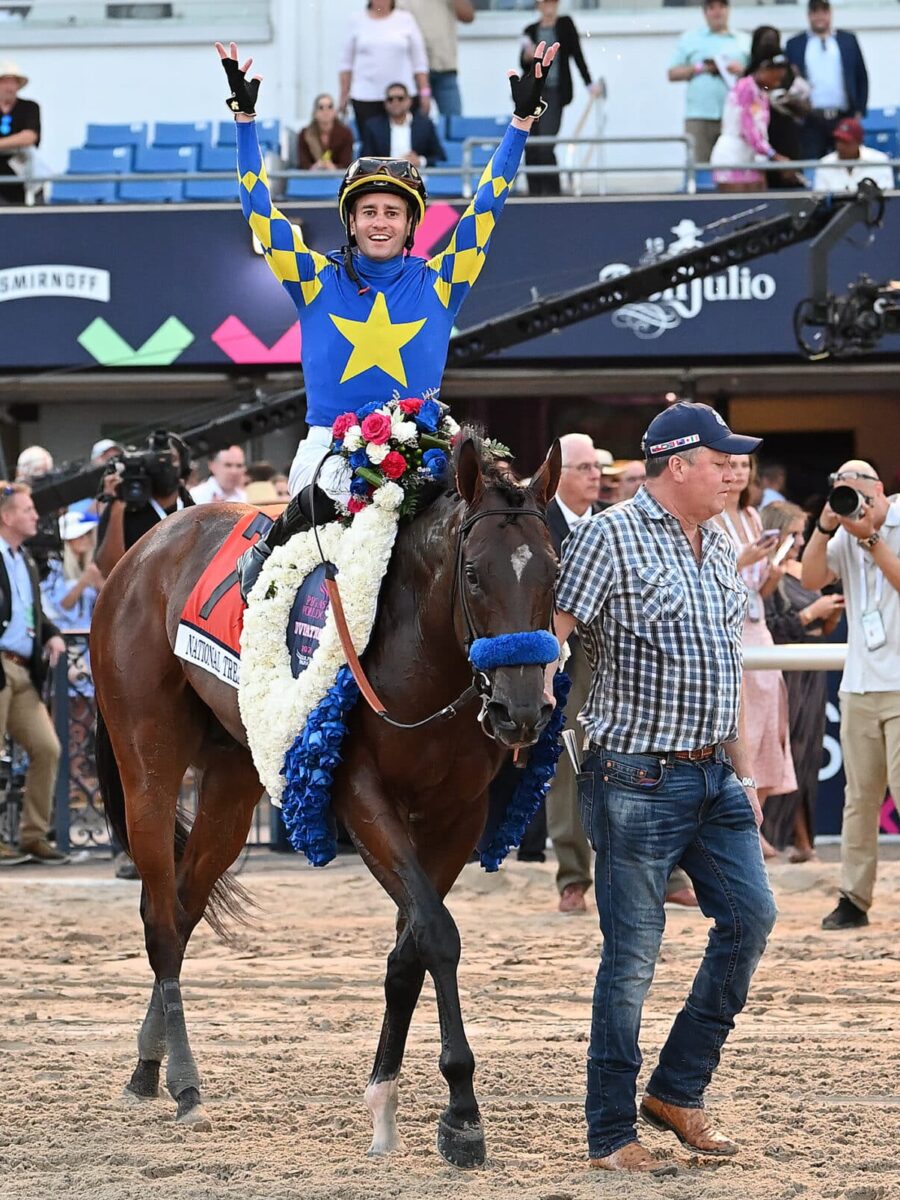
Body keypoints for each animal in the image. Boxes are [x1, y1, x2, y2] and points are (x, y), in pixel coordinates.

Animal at [90, 436, 556, 1166]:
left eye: (554, 572)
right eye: (475, 575)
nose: (522, 712)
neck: (416, 651)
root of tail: (145, 547)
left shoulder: (458, 815)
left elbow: (410, 949)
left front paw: (385, 1101)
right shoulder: (360, 798)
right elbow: (438, 934)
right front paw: (462, 1112)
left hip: (235, 777)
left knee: (187, 905)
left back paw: (148, 1065)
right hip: (147, 763)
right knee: (161, 916)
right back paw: (186, 1083)